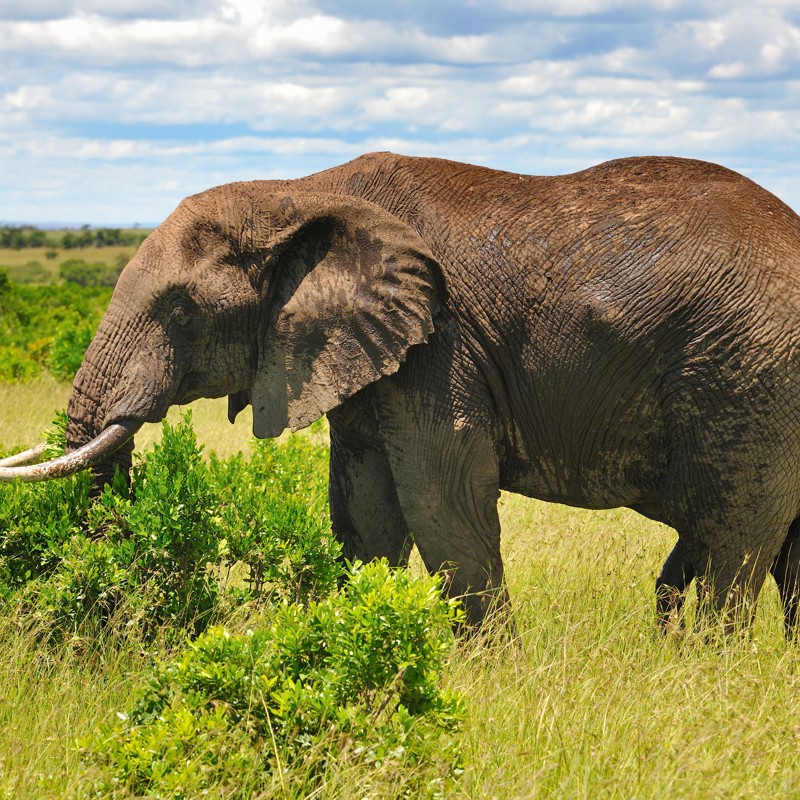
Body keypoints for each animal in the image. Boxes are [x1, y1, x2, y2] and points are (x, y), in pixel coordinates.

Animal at [4, 151, 800, 630]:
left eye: (180, 310)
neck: (296, 192)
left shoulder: (441, 347)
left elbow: (440, 499)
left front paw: (493, 678)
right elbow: (365, 510)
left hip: (751, 378)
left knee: (732, 546)